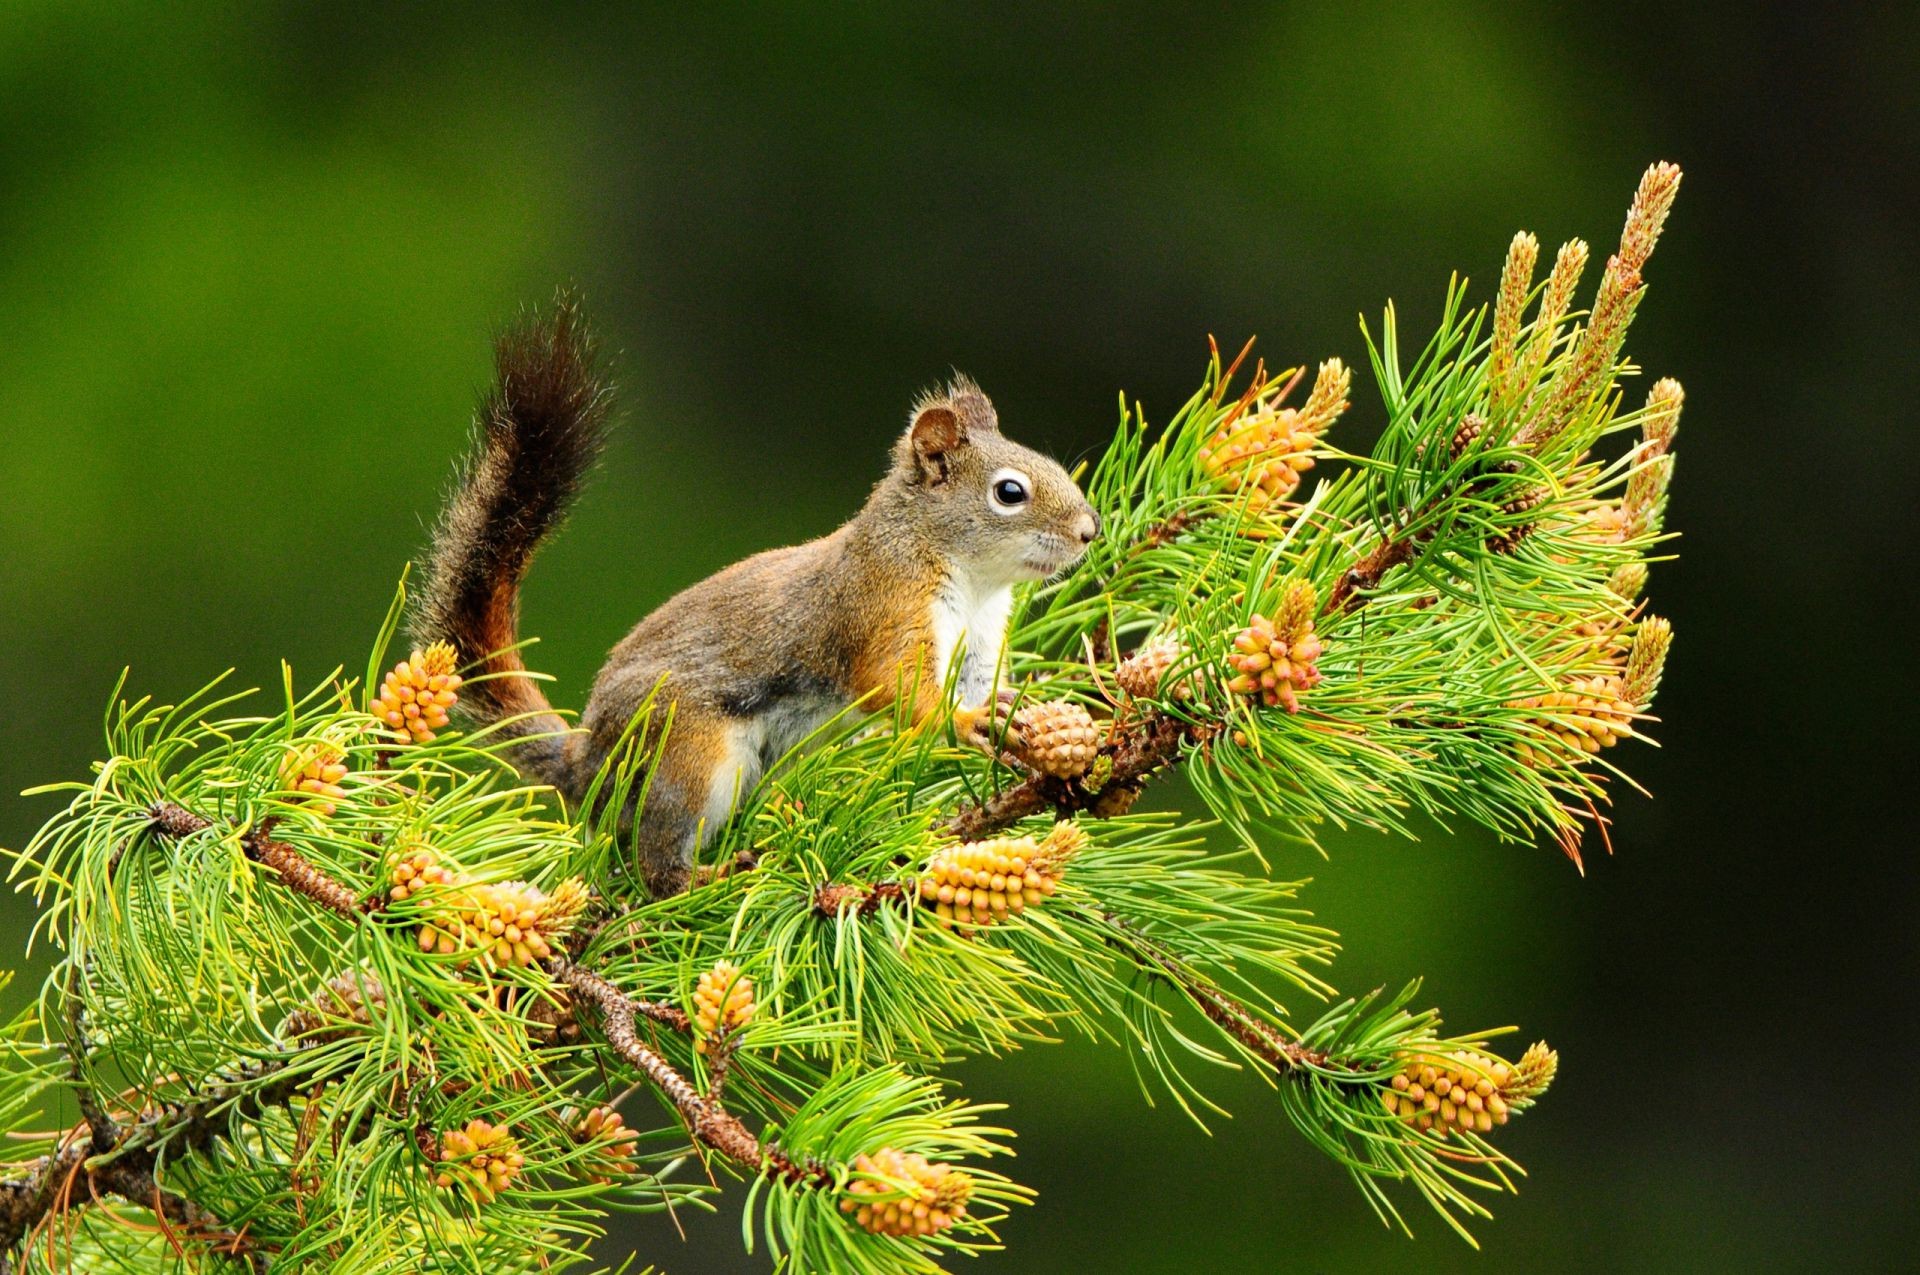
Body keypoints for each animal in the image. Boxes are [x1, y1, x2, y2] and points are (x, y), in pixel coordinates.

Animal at [422, 299, 1105, 894]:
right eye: (1009, 492)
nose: (1089, 530)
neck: (970, 580)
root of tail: (588, 760)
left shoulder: (981, 644)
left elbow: (980, 686)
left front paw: (1014, 712)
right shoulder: (883, 608)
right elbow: (895, 687)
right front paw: (964, 721)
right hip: (688, 753)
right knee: (654, 860)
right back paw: (708, 876)